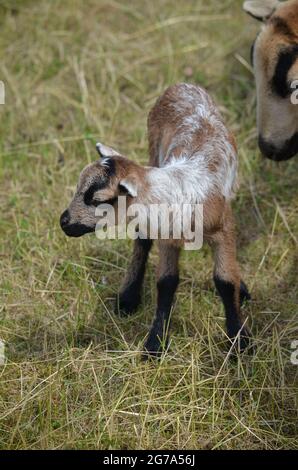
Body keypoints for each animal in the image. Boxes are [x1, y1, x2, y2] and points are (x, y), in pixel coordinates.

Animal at [60, 82, 251, 358]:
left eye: (98, 200)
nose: (64, 221)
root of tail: (182, 85)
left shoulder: (223, 228)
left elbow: (225, 280)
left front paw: (239, 340)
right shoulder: (167, 238)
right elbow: (166, 282)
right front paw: (155, 343)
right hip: (153, 148)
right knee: (142, 239)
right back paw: (128, 297)